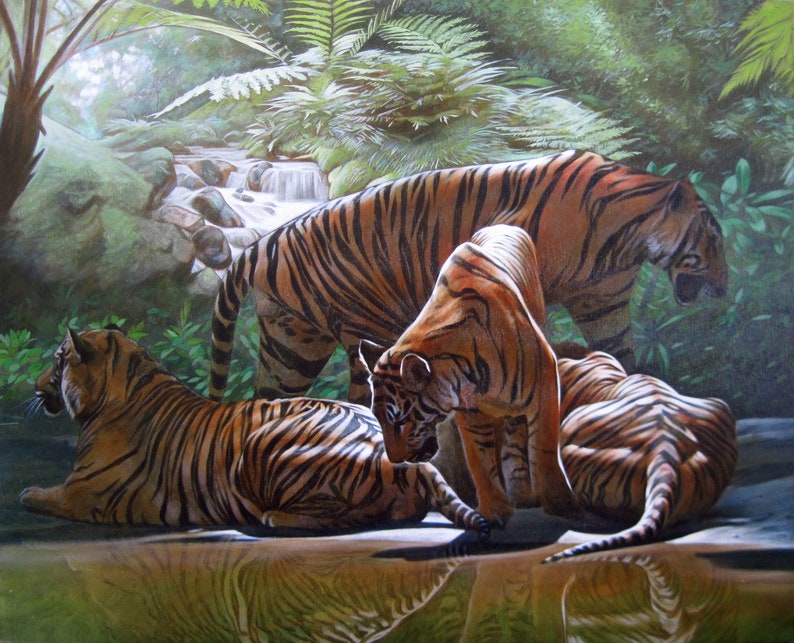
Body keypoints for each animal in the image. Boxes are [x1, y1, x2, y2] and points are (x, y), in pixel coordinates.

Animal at [20, 326, 489, 538]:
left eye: (58, 359)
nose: (36, 385)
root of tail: (403, 461)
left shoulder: (84, 491)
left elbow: (35, 495)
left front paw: (28, 493)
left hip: (257, 447)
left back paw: (275, 517)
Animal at [209, 149, 728, 408]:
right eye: (715, 239)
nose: (723, 285)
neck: (627, 240)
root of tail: (263, 243)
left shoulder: (605, 303)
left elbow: (622, 354)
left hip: (291, 346)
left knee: (265, 401)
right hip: (358, 328)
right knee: (363, 391)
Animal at [359, 225, 579, 527]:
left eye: (401, 421)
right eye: (378, 419)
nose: (394, 460)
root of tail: (503, 225)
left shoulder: (545, 382)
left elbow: (543, 447)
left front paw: (561, 503)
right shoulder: (470, 414)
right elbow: (480, 461)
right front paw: (495, 511)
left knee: (517, 437)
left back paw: (524, 493)